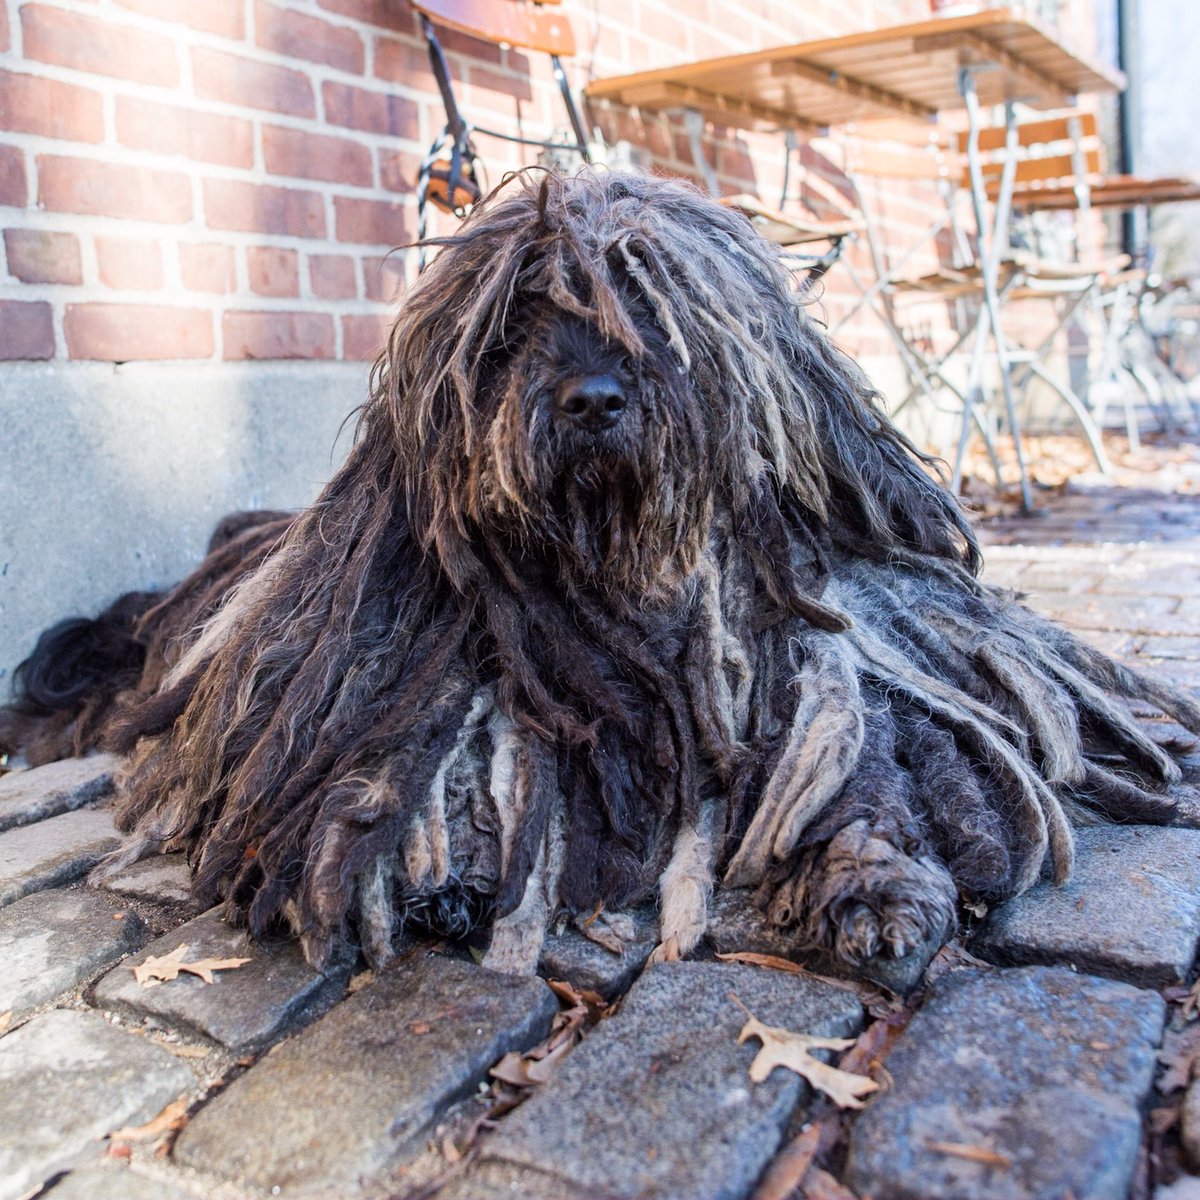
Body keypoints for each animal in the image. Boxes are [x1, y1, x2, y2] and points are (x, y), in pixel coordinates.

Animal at [4, 166, 1195, 974]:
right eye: (511, 323)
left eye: (654, 301)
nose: (590, 399)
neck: (635, 613)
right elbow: (432, 768)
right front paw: (443, 872)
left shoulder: (828, 682)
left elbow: (858, 779)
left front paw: (876, 889)